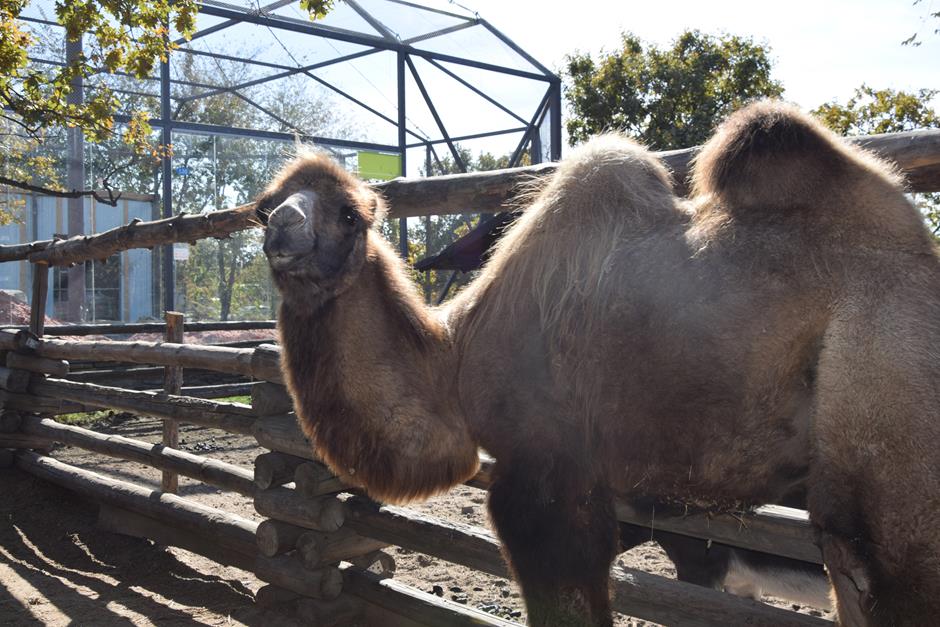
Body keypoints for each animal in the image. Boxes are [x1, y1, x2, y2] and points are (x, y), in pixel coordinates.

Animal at [256, 101, 940, 627]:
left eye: (349, 215)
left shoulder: (547, 474)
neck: (453, 360)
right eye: (269, 205)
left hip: (888, 421)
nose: (280, 230)